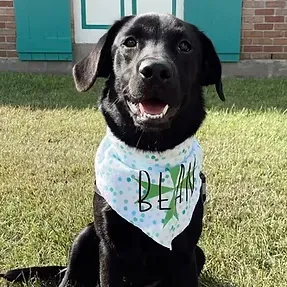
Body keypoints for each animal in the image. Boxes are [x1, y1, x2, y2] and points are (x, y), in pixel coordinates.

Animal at [0, 13, 225, 287]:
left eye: (185, 46)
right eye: (129, 42)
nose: (155, 70)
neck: (150, 152)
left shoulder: (185, 251)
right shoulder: (109, 247)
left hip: (198, 253)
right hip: (85, 235)